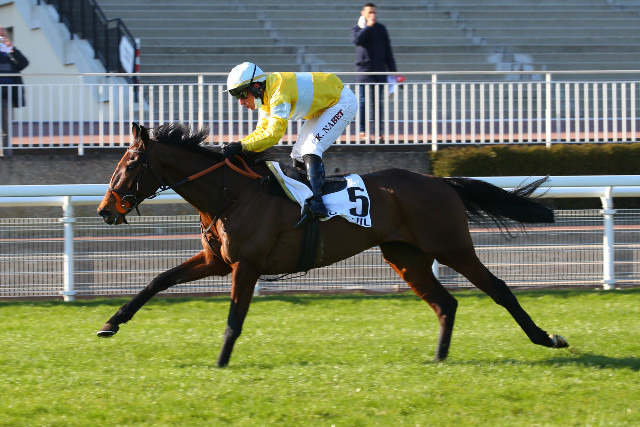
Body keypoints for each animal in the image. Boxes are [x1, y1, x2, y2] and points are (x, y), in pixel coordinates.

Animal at [96, 122, 569, 367]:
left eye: (131, 164)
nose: (104, 210)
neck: (231, 194)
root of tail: (440, 181)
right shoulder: (217, 260)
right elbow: (158, 280)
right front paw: (111, 323)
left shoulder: (245, 265)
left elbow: (234, 317)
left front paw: (221, 362)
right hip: (405, 257)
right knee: (445, 303)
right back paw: (438, 357)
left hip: (452, 247)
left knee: (499, 289)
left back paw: (547, 338)